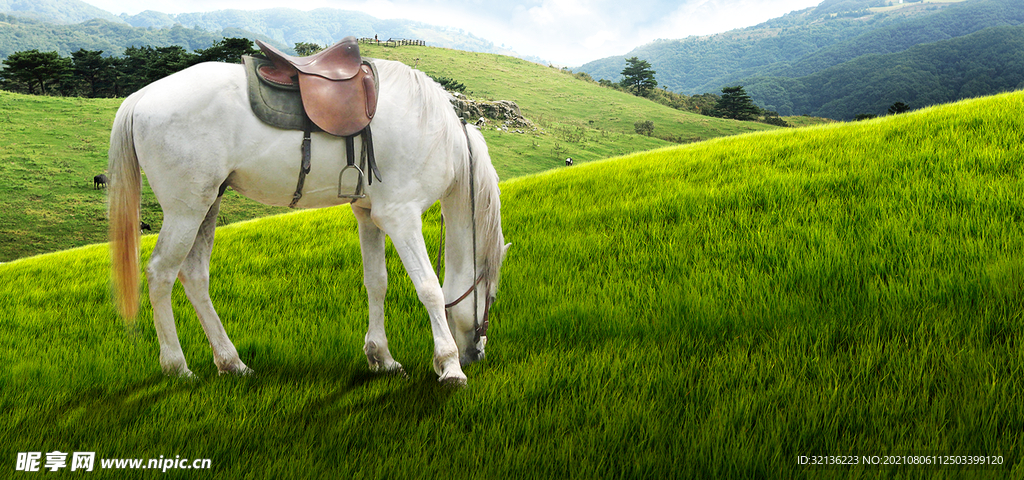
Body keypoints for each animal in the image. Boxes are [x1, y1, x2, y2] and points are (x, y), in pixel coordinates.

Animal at [110, 58, 509, 382]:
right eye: (491, 296)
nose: (476, 354)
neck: (435, 132)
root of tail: (142, 96)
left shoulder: (369, 215)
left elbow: (376, 282)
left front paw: (381, 357)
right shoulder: (401, 216)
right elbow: (428, 287)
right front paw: (449, 365)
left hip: (208, 204)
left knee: (194, 276)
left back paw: (231, 362)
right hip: (186, 210)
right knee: (160, 274)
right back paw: (177, 366)